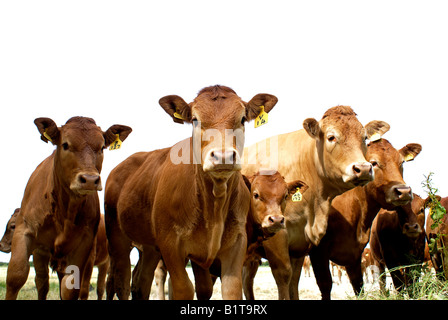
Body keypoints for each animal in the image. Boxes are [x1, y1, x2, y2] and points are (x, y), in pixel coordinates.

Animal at [5, 117, 131, 300]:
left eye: (101, 147)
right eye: (65, 144)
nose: (90, 179)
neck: (64, 211)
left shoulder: (83, 247)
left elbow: (70, 289)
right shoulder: (26, 233)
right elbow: (16, 277)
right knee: (42, 283)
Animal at [105, 85, 278, 300]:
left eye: (243, 118)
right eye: (195, 119)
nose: (223, 156)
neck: (214, 206)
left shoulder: (236, 243)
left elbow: (227, 289)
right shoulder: (170, 244)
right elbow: (184, 288)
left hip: (149, 247)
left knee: (140, 282)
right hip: (117, 240)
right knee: (120, 281)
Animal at [242, 106, 388, 298]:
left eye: (364, 138)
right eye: (331, 137)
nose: (363, 169)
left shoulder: (299, 245)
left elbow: (294, 280)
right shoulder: (276, 237)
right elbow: (284, 276)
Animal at [308, 139, 420, 298]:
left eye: (402, 162)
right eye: (373, 163)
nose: (403, 191)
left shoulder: (354, 255)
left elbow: (358, 286)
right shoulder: (318, 251)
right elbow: (325, 285)